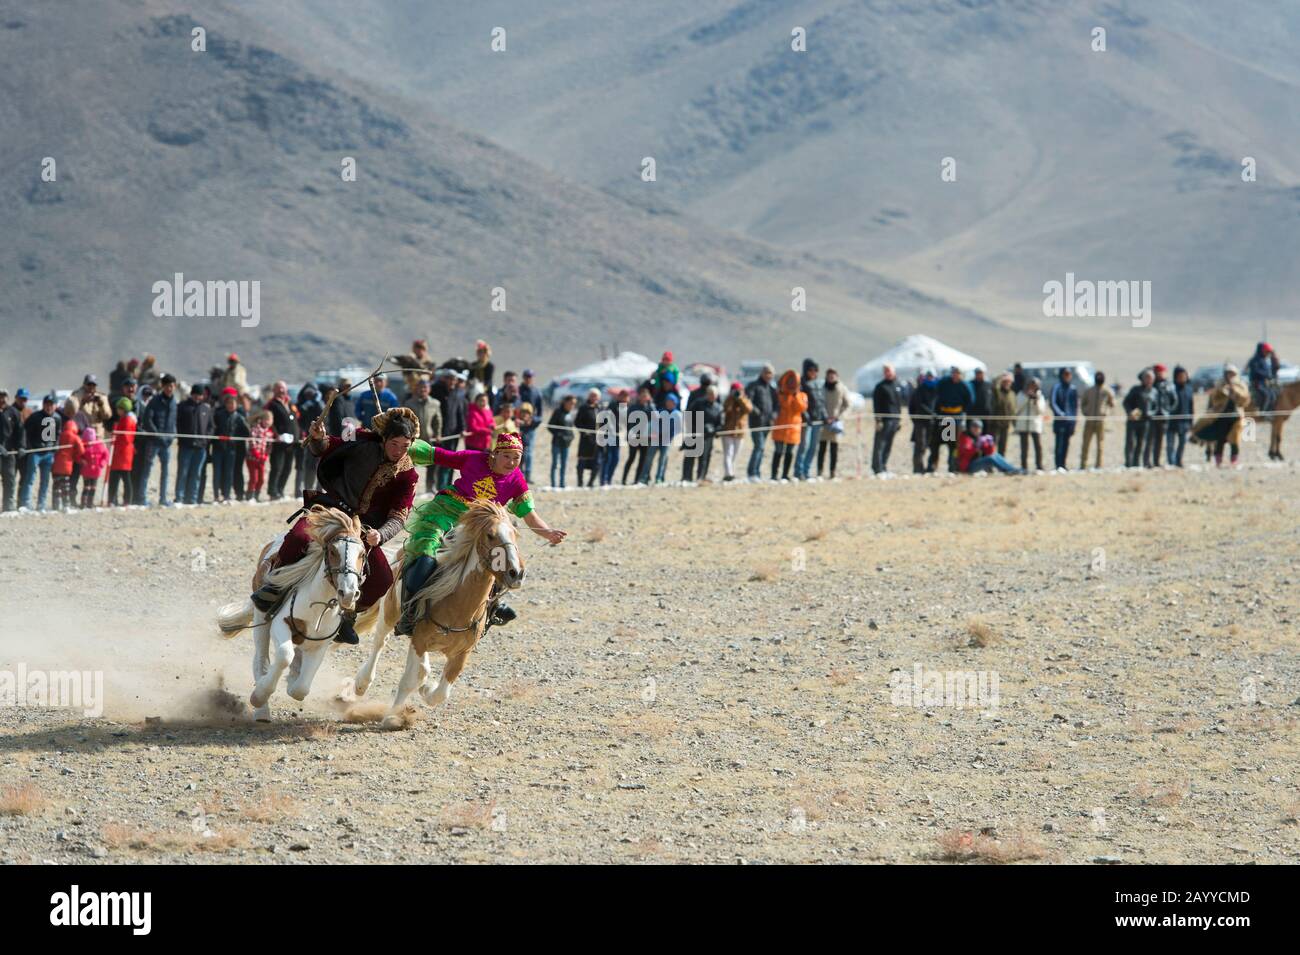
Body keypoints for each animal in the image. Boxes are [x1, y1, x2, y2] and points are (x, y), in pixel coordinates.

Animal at [214, 509, 366, 717]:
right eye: (333, 551)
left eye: (363, 554)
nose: (349, 593)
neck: (318, 605)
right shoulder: (281, 624)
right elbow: (285, 655)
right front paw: (260, 694)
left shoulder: (321, 643)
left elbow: (301, 688)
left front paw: (293, 680)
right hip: (261, 618)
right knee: (261, 659)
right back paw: (262, 710)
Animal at [351, 501, 527, 732]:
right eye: (490, 535)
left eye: (515, 534)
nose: (517, 573)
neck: (458, 604)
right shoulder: (420, 641)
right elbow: (410, 679)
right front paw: (393, 717)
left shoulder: (462, 653)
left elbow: (442, 692)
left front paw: (427, 689)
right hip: (390, 611)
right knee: (381, 640)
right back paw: (361, 684)